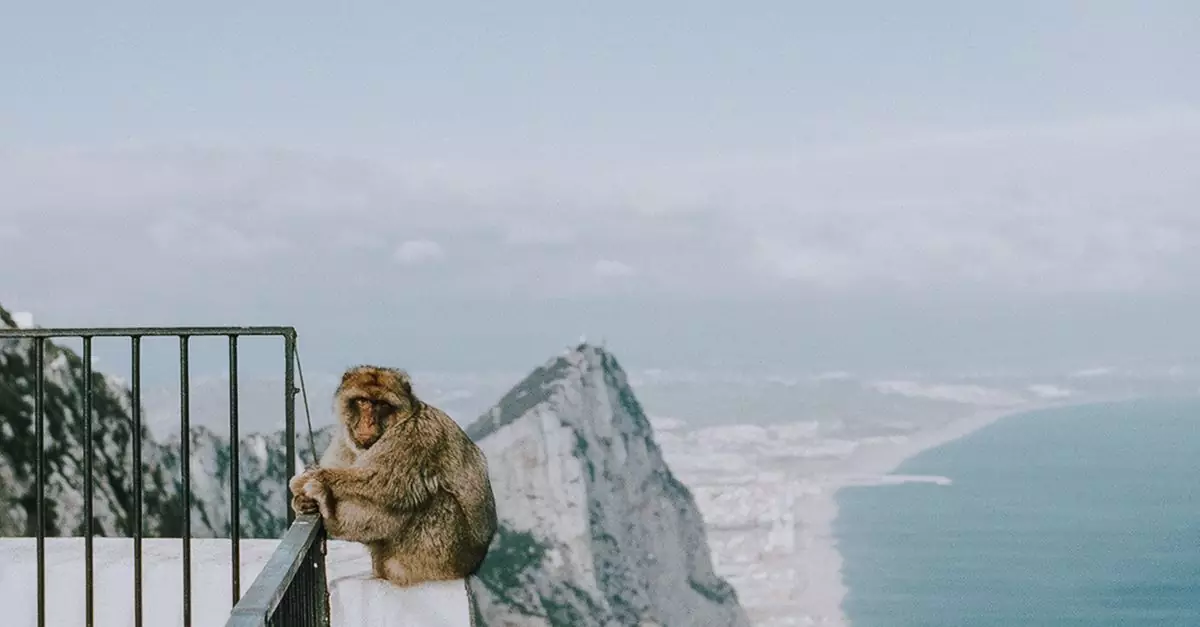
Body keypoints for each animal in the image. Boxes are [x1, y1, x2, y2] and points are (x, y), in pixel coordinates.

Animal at [288, 365, 498, 587]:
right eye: (363, 401)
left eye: (382, 405)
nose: (368, 422)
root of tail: (473, 565)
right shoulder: (344, 440)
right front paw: (300, 501)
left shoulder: (415, 435)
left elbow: (382, 481)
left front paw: (305, 481)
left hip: (441, 555)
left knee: (418, 496)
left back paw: (332, 516)